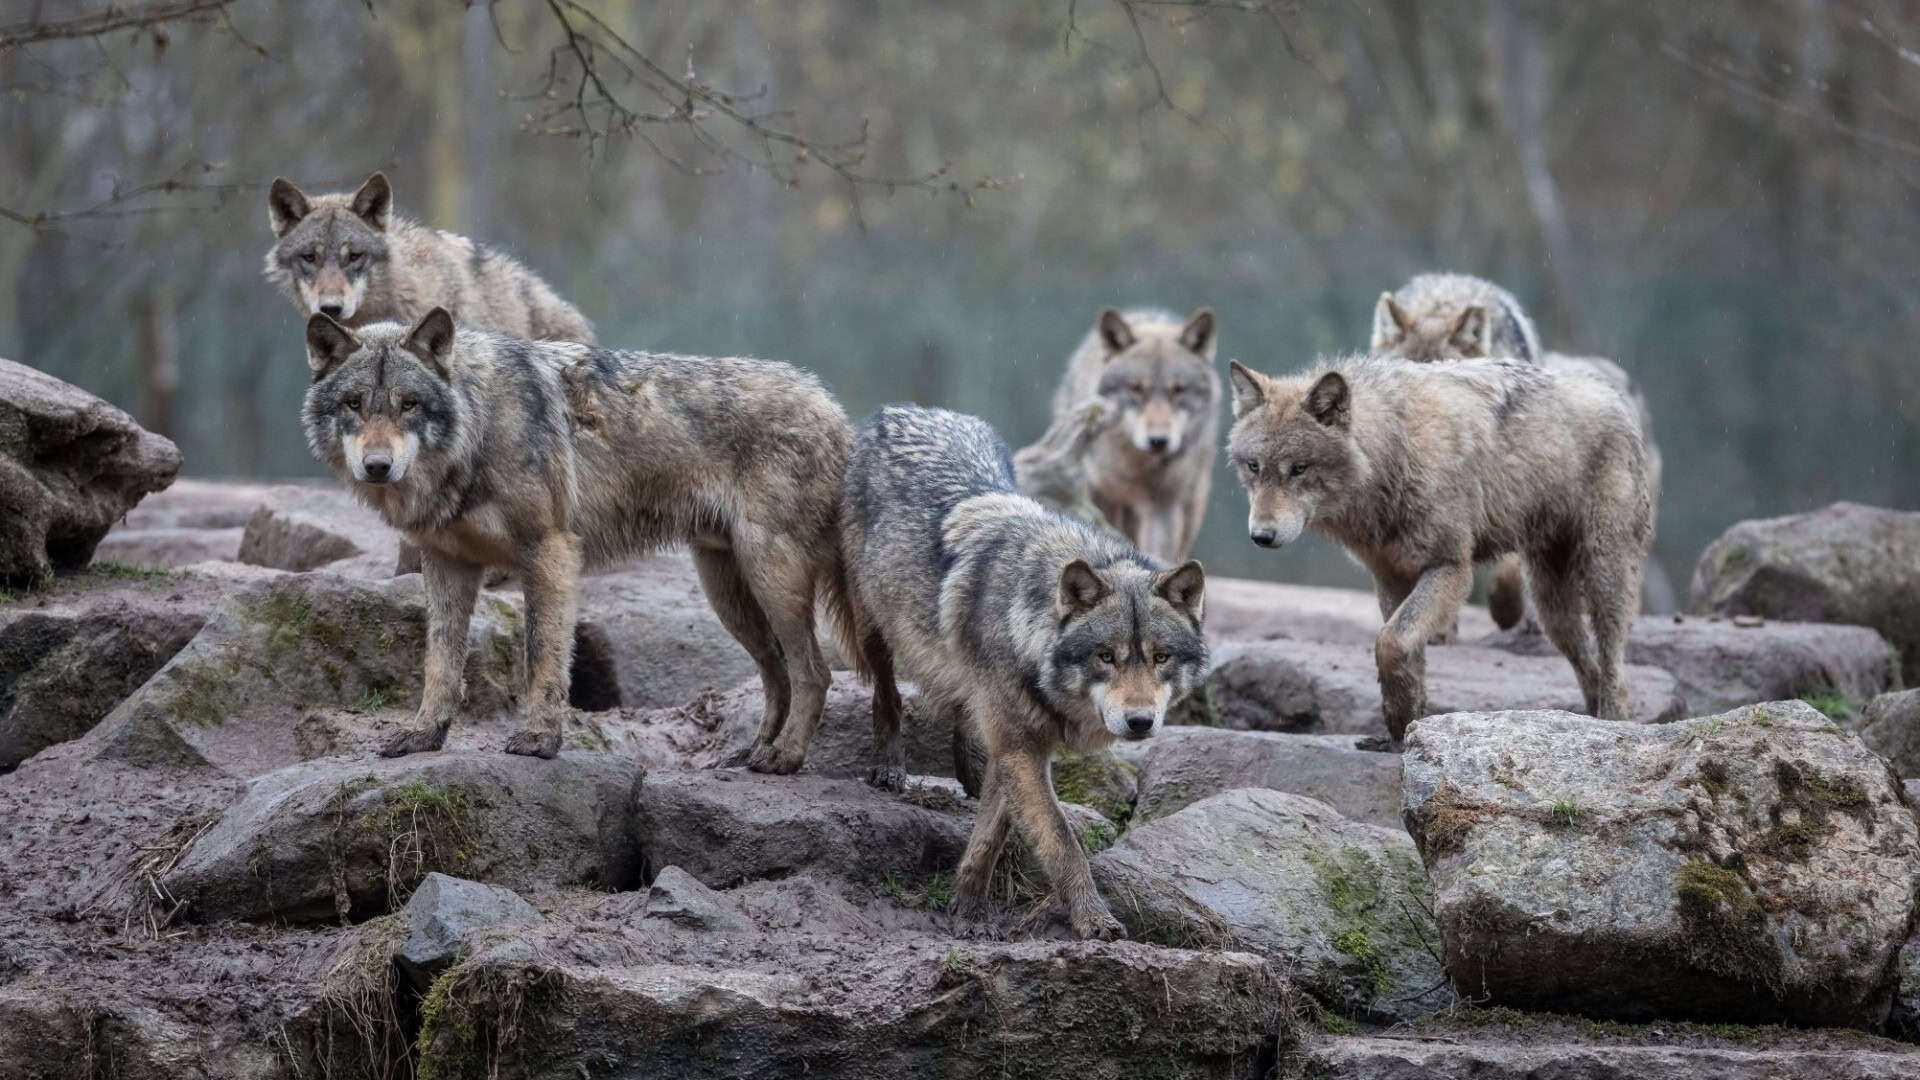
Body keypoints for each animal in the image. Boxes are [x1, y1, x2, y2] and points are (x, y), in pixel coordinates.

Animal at [301, 308, 852, 768]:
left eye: (409, 405)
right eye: (354, 404)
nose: (377, 466)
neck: (479, 428)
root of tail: (833, 406)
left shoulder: (551, 551)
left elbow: (542, 653)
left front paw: (541, 740)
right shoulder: (446, 564)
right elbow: (440, 662)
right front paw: (424, 735)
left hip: (770, 577)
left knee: (813, 672)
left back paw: (784, 758)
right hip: (727, 593)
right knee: (777, 671)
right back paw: (755, 751)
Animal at [840, 404, 1208, 939]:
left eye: (1160, 657)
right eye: (1106, 656)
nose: (1140, 722)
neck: (1026, 625)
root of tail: (906, 409)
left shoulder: (1018, 748)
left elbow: (992, 832)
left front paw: (968, 906)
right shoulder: (1021, 748)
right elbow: (1061, 840)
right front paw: (1092, 919)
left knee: (965, 719)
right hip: (874, 626)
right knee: (886, 693)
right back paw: (889, 765)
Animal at [1048, 307, 1220, 562]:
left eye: (1179, 390)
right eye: (1136, 389)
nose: (1158, 440)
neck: (1139, 468)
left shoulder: (1163, 506)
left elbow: (1159, 549)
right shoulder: (1101, 496)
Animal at [1226, 356, 1651, 744]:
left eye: (1299, 469)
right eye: (1254, 466)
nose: (1261, 535)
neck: (1395, 453)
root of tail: (1614, 395)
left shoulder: (1451, 568)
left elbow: (1391, 642)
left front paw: (1401, 721)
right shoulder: (1391, 576)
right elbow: (1406, 653)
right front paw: (1404, 730)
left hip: (1602, 576)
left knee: (1615, 665)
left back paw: (1613, 725)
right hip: (1552, 608)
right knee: (1589, 665)